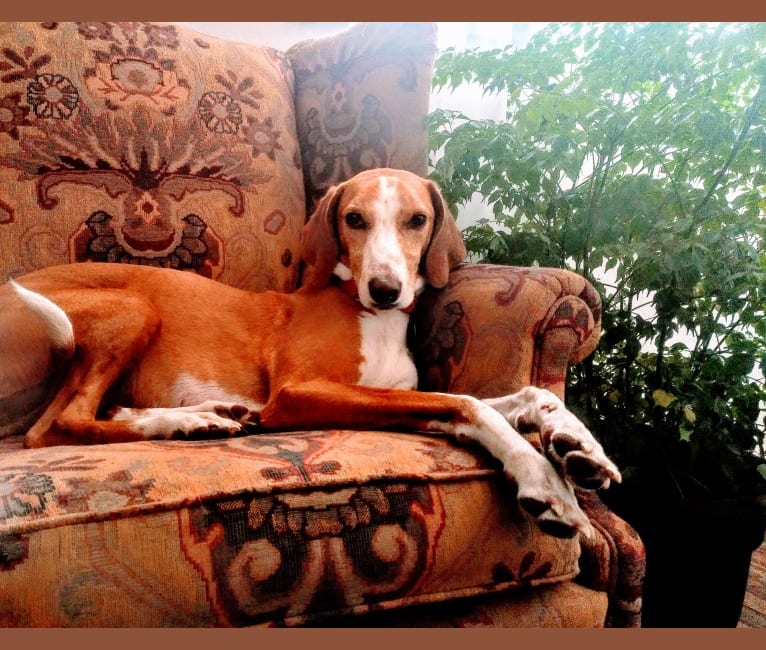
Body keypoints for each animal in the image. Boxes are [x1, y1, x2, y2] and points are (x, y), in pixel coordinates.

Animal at [0, 167, 620, 536]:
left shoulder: (397, 397)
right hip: (131, 308)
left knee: (94, 414)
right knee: (58, 427)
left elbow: (517, 394)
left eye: (417, 220)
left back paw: (204, 416)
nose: (386, 289)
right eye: (354, 219)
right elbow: (470, 404)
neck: (372, 317)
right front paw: (544, 480)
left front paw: (577, 446)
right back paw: (185, 423)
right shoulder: (301, 392)